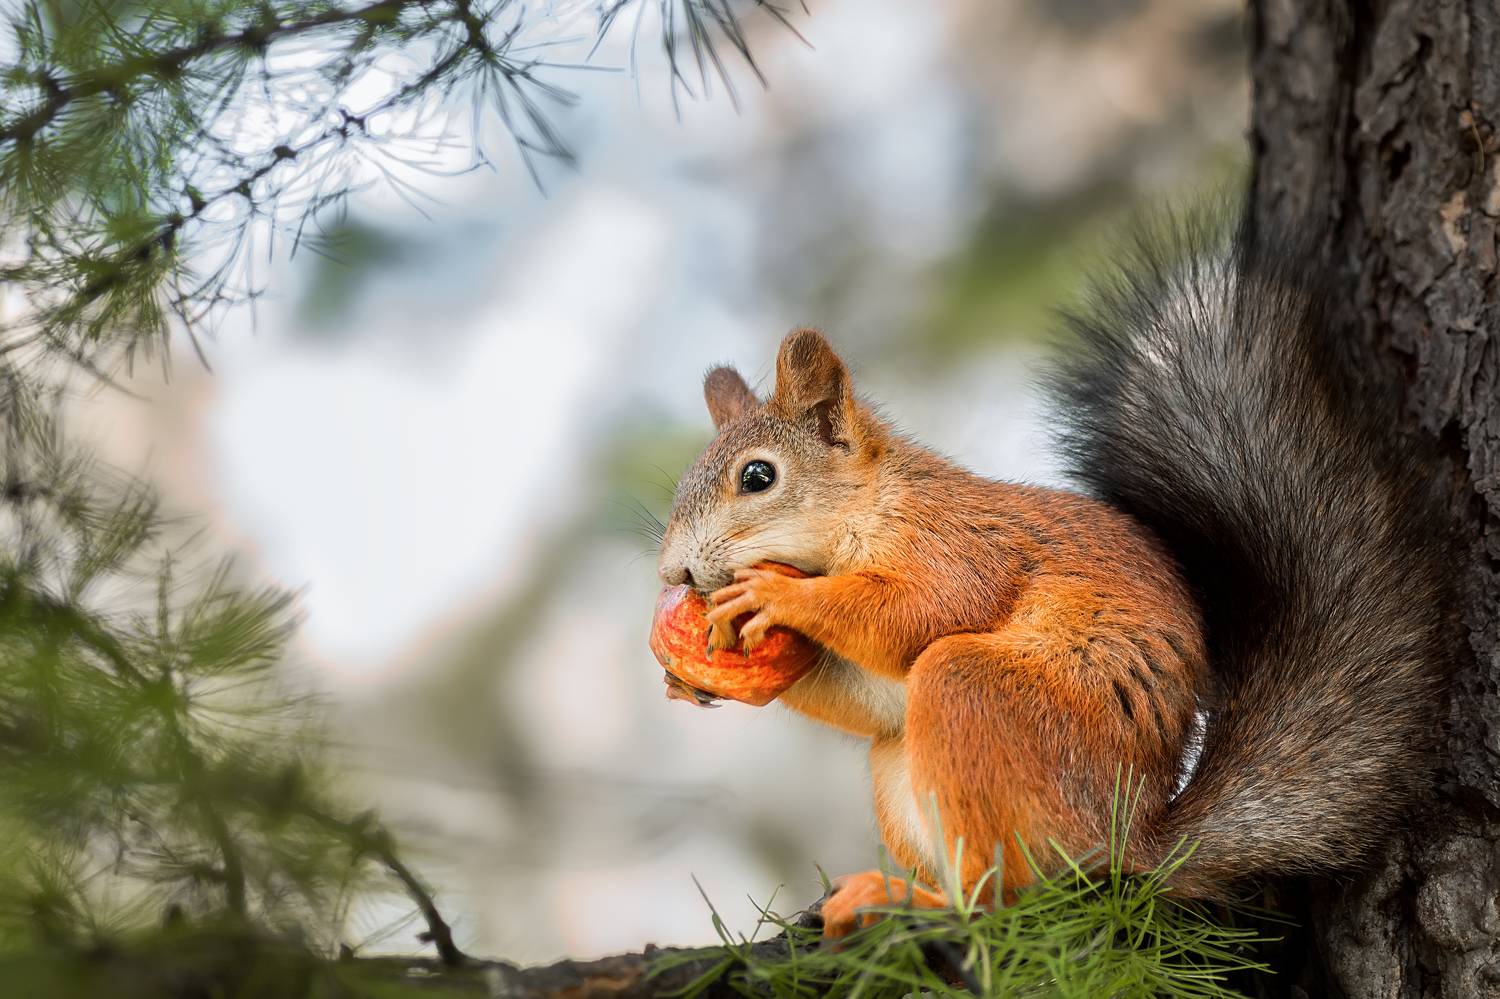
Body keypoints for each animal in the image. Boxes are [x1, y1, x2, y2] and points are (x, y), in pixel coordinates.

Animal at [654, 210, 1463, 938]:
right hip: (901, 767)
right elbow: (868, 697)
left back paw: (917, 904)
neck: (870, 509)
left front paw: (775, 593)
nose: (674, 569)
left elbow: (919, 613)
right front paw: (688, 680)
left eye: (759, 476)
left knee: (998, 898)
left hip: (980, 696)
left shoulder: (956, 547)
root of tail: (1126, 846)